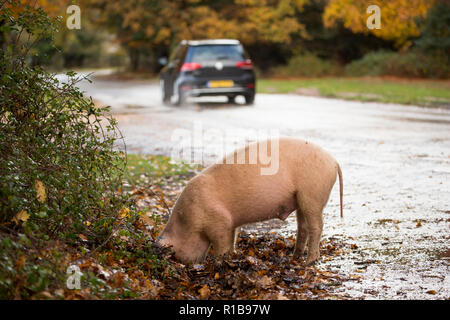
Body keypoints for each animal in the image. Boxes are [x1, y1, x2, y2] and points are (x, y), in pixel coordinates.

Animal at [156, 138, 342, 264]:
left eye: (175, 255)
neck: (187, 220)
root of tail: (334, 161)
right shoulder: (231, 223)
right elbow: (232, 239)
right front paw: (232, 257)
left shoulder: (219, 221)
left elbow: (221, 245)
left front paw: (220, 263)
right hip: (302, 199)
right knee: (303, 227)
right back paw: (294, 257)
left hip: (312, 194)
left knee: (317, 226)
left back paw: (309, 262)